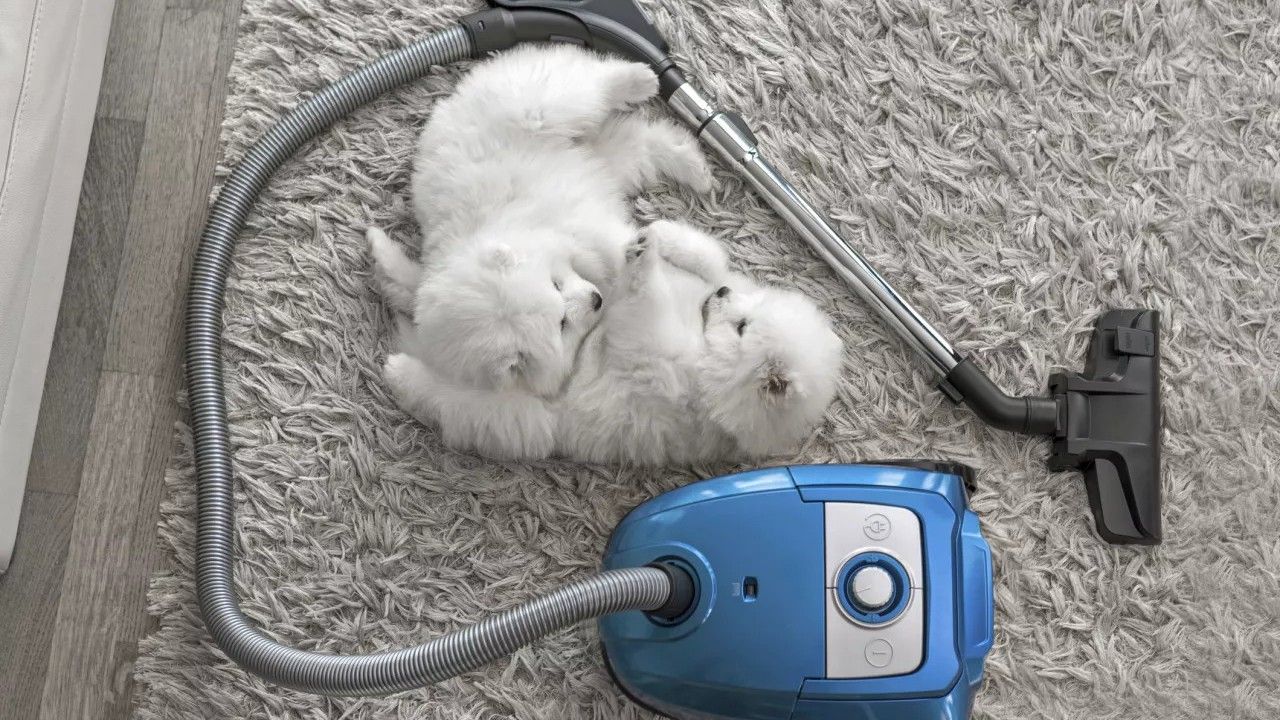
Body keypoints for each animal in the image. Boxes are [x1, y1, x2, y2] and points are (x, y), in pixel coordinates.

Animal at [368, 44, 711, 456]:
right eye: (561, 325)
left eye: (556, 285)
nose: (596, 299)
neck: (520, 231)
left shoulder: (582, 230)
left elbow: (615, 248)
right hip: (604, 157)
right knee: (641, 141)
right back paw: (691, 163)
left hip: (535, 108)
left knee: (581, 84)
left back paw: (641, 81)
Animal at [552, 219, 844, 461]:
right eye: (754, 308)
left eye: (741, 327)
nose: (723, 292)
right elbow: (711, 259)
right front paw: (661, 233)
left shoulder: (652, 343)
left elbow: (652, 297)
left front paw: (645, 255)